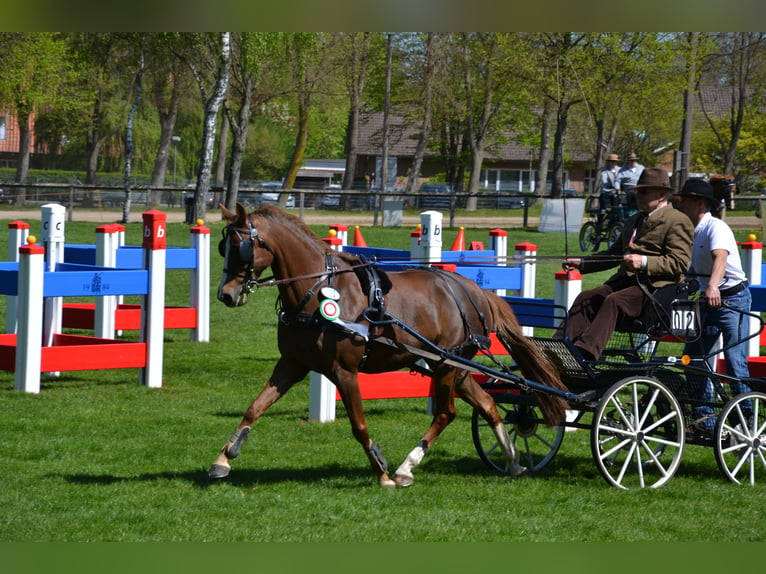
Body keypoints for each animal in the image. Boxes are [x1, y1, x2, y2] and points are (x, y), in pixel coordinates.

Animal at [210, 205, 568, 488]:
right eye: (223, 246)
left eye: (241, 247)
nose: (226, 295)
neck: (318, 291)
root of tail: (475, 292)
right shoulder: (292, 364)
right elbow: (254, 408)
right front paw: (223, 459)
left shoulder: (344, 371)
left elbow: (359, 425)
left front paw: (381, 472)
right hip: (457, 369)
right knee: (489, 406)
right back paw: (514, 462)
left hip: (447, 366)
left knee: (446, 413)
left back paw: (406, 468)